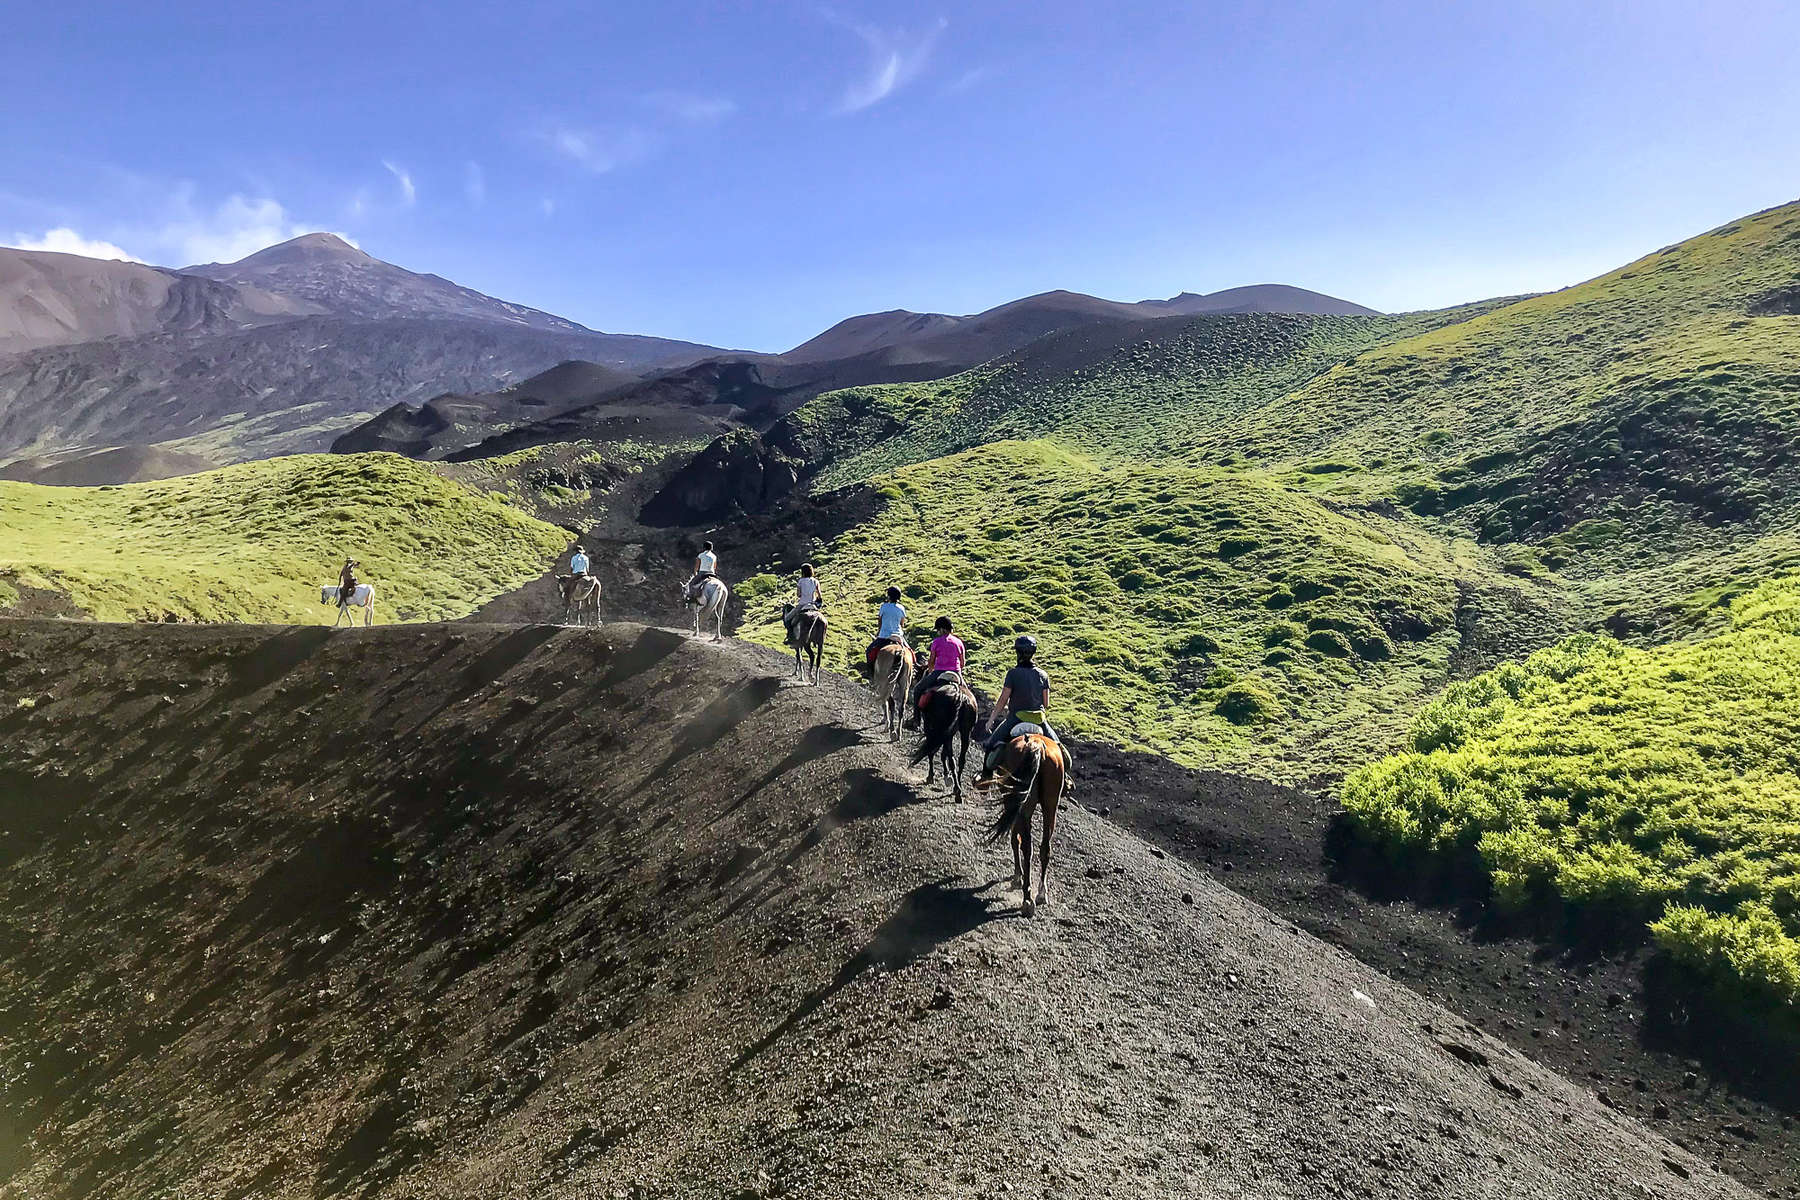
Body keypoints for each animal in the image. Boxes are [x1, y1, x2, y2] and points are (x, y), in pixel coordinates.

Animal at [907, 672, 979, 802]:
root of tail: (960, 697)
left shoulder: (931, 728)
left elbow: (932, 751)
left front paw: (931, 776)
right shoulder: (949, 732)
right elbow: (943, 753)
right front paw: (946, 775)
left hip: (940, 728)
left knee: (948, 758)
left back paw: (956, 789)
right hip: (965, 732)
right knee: (960, 759)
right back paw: (957, 787)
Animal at [986, 734, 1065, 921]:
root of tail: (1037, 745)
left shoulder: (1012, 803)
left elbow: (1015, 838)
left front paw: (1017, 876)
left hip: (1024, 805)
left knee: (1027, 847)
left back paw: (1027, 899)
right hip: (1050, 805)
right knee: (1045, 848)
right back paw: (1041, 894)